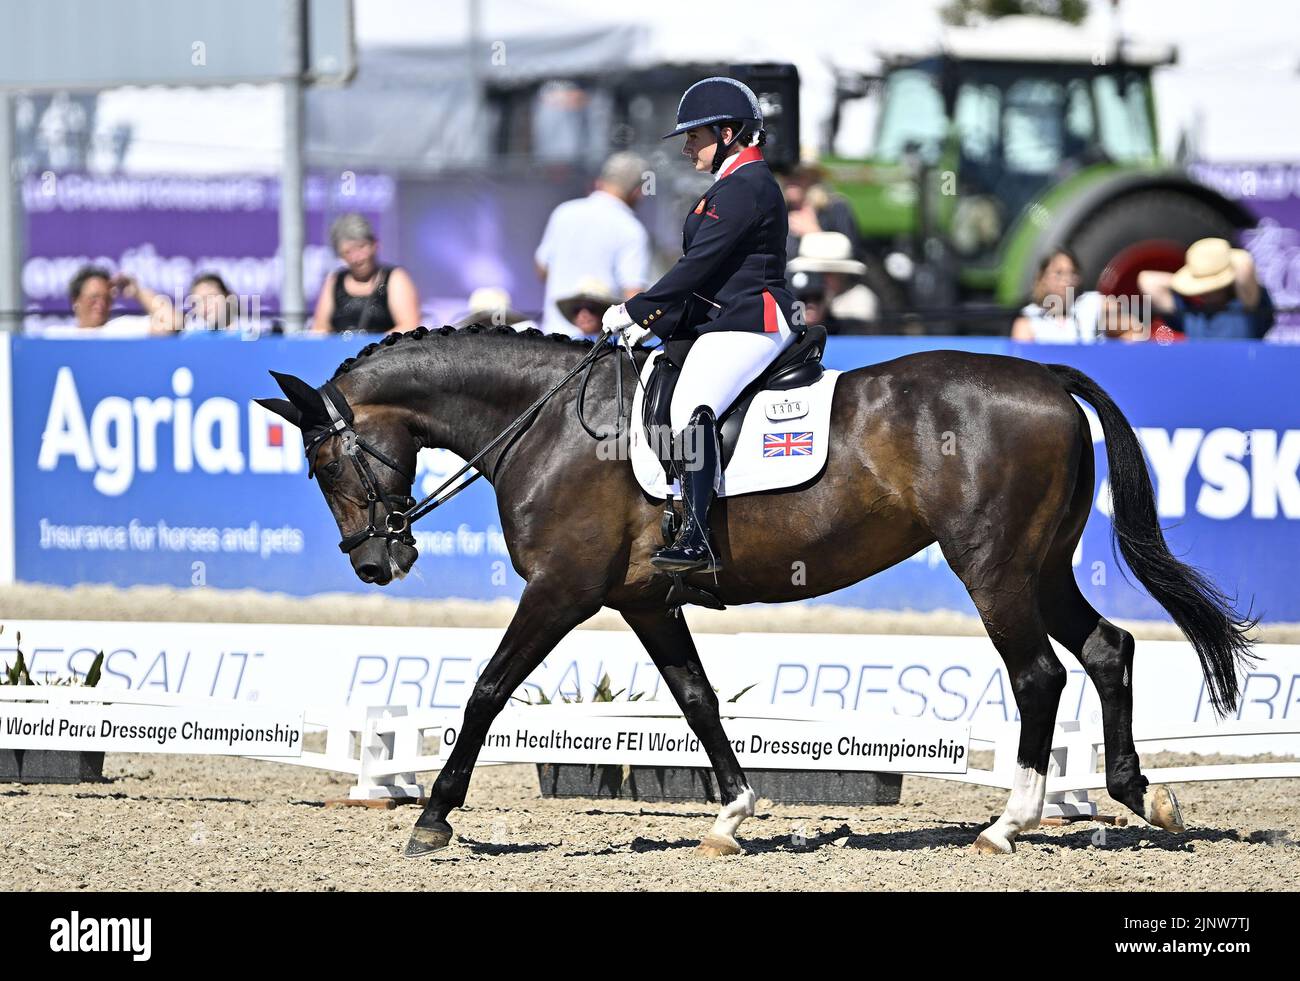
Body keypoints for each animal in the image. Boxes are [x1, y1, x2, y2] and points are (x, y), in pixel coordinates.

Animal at [258, 324, 1253, 857]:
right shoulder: (643, 602)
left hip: (995, 567)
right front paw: (730, 817)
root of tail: (1047, 374)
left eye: (322, 462)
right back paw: (1143, 798)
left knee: (1040, 675)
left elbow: (487, 689)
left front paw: (431, 819)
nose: (375, 564)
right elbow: (697, 699)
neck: (547, 425)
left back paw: (1009, 825)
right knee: (1107, 649)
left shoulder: (561, 590)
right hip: (1041, 567)